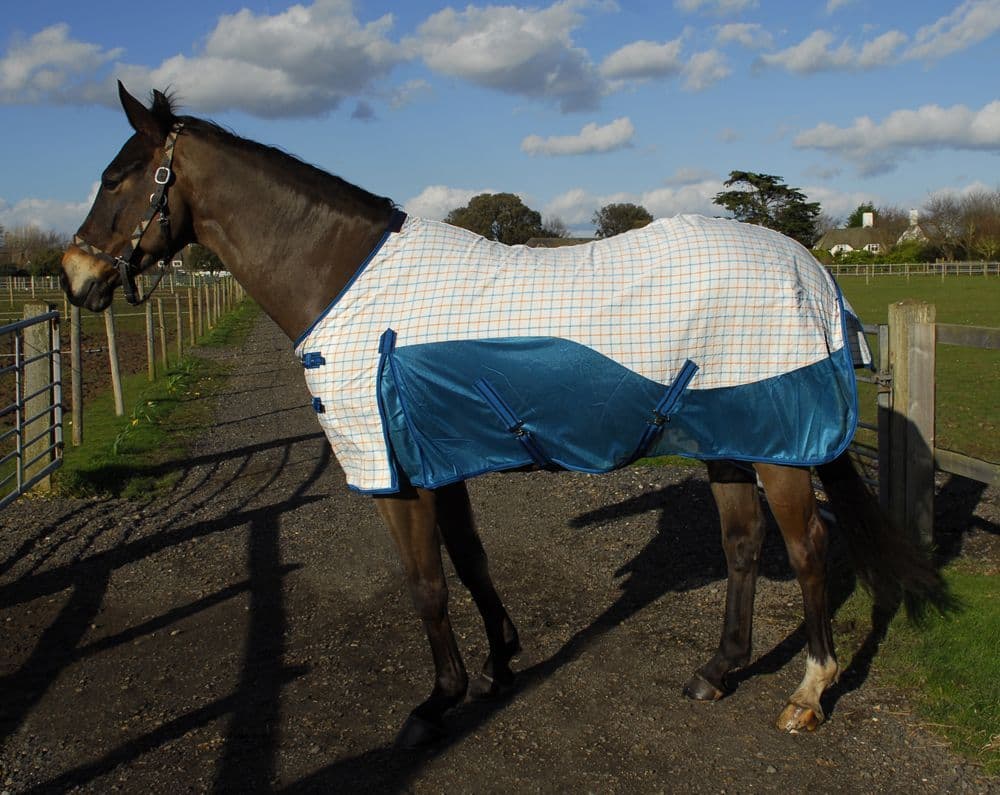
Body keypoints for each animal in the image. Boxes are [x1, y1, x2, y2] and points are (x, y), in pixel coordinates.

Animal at [61, 84, 942, 749]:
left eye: (118, 177)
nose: (74, 277)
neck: (349, 284)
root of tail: (810, 268)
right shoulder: (439, 457)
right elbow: (472, 562)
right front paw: (501, 662)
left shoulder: (397, 474)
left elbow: (426, 584)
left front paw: (437, 700)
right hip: (728, 438)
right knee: (742, 545)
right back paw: (718, 671)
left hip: (778, 448)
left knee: (808, 548)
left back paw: (809, 692)